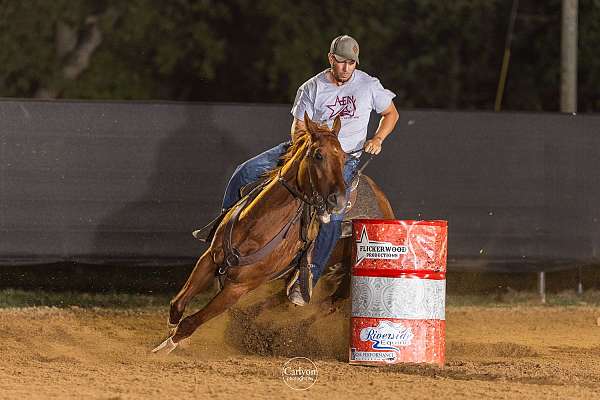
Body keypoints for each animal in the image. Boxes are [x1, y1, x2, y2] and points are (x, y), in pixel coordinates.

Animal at [152, 112, 350, 354]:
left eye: (344, 158)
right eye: (319, 155)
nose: (338, 200)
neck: (256, 228)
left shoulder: (238, 288)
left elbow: (191, 322)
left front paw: (163, 350)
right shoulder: (209, 259)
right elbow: (178, 304)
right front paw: (171, 337)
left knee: (329, 305)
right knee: (283, 299)